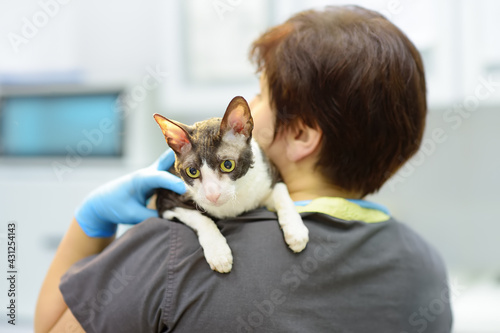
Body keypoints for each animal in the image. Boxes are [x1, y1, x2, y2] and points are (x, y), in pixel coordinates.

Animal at [152, 95, 308, 272]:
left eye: (227, 165)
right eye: (192, 171)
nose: (212, 195)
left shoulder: (272, 173)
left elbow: (283, 196)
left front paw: (296, 231)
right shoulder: (166, 201)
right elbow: (201, 218)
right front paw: (219, 254)